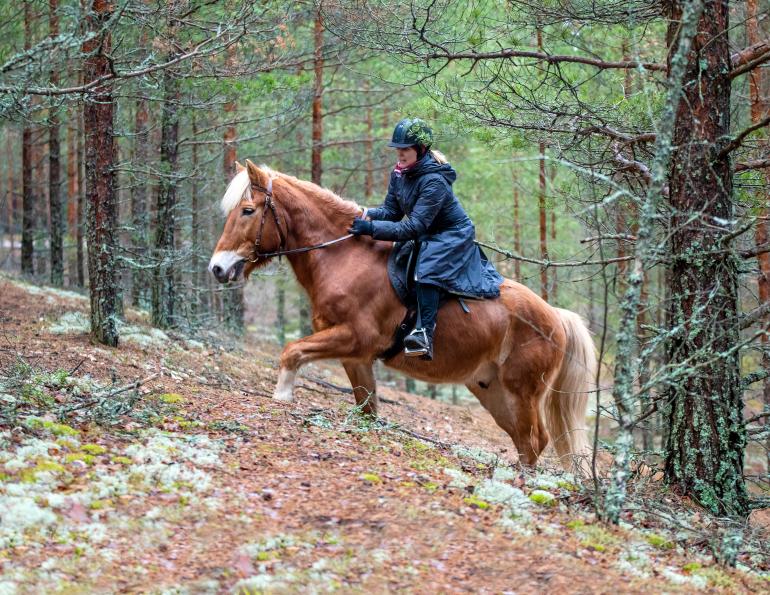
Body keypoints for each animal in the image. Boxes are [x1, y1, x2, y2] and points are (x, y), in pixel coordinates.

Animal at [206, 161, 592, 472]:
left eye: (248, 211)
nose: (218, 269)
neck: (344, 258)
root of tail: (556, 317)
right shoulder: (356, 357)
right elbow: (367, 408)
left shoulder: (354, 337)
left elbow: (291, 351)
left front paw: (282, 396)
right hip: (492, 390)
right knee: (524, 440)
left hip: (522, 392)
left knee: (534, 439)